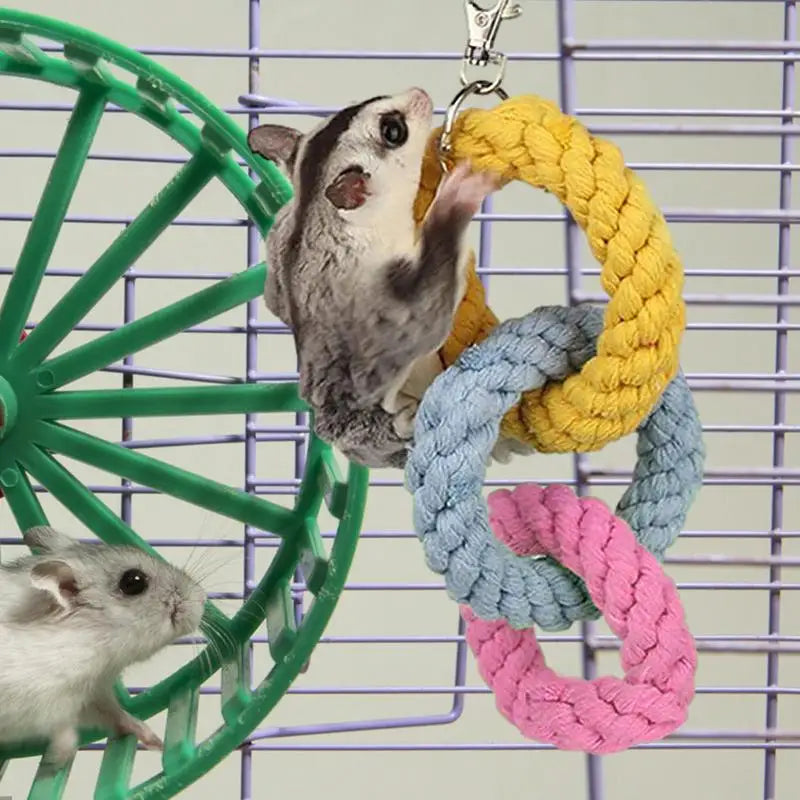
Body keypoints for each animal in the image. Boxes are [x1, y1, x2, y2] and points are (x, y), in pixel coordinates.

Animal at [0, 524, 206, 768]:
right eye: (133, 581)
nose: (203, 598)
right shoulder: (38, 703)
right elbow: (63, 731)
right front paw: (56, 761)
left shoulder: (94, 693)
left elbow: (116, 715)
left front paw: (156, 742)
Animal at [247, 86, 500, 468]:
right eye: (393, 131)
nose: (420, 92)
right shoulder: (369, 289)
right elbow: (424, 318)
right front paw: (455, 199)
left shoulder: (280, 235)